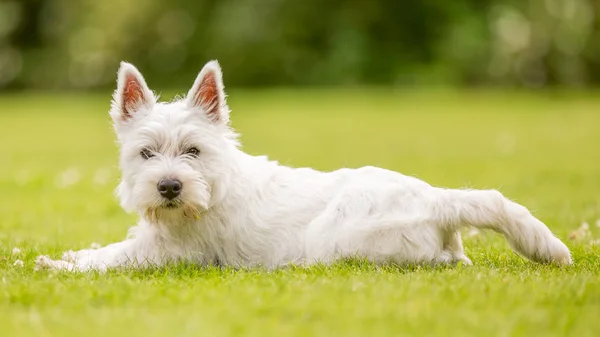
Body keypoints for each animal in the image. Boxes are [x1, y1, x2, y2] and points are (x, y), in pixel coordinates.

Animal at [35, 59, 576, 270]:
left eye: (193, 151)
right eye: (146, 154)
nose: (169, 186)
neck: (211, 190)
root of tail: (435, 199)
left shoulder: (168, 255)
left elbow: (109, 260)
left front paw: (56, 267)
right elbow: (101, 249)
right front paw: (58, 256)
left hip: (346, 241)